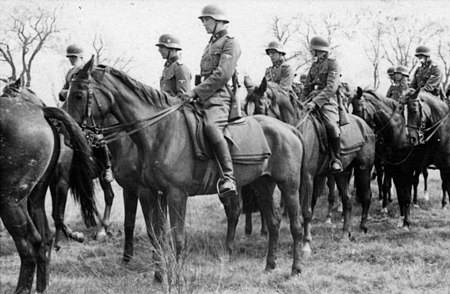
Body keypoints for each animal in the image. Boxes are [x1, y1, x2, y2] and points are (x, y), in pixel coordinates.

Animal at [0, 96, 97, 292]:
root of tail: (40, 111)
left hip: (10, 201)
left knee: (31, 243)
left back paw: (23, 289)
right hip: (34, 199)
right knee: (44, 239)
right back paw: (41, 288)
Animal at [65, 56, 306, 276]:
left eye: (78, 94)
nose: (68, 136)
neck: (161, 131)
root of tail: (289, 129)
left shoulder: (174, 194)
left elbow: (176, 237)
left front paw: (176, 274)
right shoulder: (154, 193)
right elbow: (157, 235)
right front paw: (159, 274)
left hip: (290, 187)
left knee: (295, 225)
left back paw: (295, 268)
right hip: (262, 185)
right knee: (273, 222)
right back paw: (270, 265)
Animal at [244, 77, 374, 253]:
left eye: (259, 107)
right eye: (244, 107)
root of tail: (365, 125)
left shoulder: (307, 177)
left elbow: (306, 210)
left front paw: (305, 244)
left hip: (364, 169)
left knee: (366, 196)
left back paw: (362, 228)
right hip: (343, 173)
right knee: (347, 200)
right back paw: (345, 233)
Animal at [352, 87, 450, 227]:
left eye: (359, 109)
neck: (397, 133)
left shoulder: (405, 169)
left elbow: (405, 193)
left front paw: (405, 220)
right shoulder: (391, 167)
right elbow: (395, 191)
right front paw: (400, 216)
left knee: (438, 181)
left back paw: (438, 203)